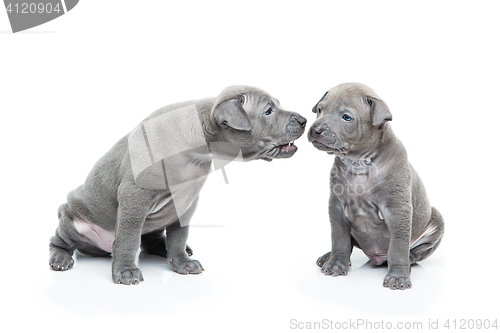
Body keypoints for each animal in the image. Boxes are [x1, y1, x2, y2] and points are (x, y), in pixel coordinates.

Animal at [48, 85, 306, 282]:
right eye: (268, 111)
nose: (304, 120)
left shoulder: (186, 202)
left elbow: (178, 237)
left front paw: (182, 262)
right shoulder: (135, 197)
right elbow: (129, 239)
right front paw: (126, 271)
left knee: (150, 240)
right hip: (73, 220)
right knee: (61, 240)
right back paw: (61, 258)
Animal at [308, 83, 446, 290]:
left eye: (347, 117)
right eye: (319, 110)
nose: (315, 130)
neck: (359, 162)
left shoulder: (397, 210)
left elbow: (397, 246)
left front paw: (398, 276)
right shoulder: (336, 206)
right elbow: (339, 239)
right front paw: (335, 264)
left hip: (436, 222)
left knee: (416, 251)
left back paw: (408, 260)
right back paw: (327, 256)